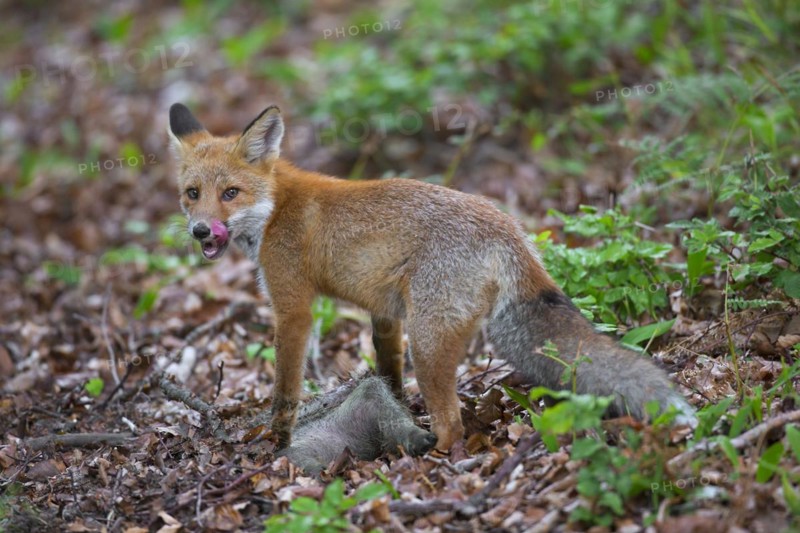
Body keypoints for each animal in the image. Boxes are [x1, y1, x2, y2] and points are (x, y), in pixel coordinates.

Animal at [167, 103, 695, 452]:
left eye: (230, 193)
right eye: (192, 194)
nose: (200, 230)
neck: (275, 209)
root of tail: (509, 229)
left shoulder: (293, 308)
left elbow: (285, 392)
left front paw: (276, 444)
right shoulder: (384, 313)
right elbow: (389, 375)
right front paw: (394, 411)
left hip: (429, 340)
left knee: (454, 426)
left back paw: (432, 459)